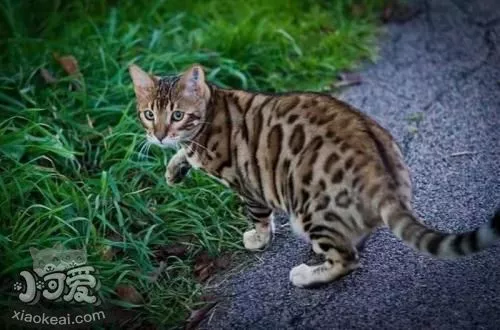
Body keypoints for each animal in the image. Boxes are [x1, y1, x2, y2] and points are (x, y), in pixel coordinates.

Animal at [130, 63, 500, 288]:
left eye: (178, 115)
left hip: (310, 209)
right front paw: (174, 168)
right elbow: (183, 155)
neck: (210, 110)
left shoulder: (248, 184)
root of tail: (381, 174)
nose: (159, 135)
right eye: (149, 114)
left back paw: (307, 274)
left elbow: (260, 217)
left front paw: (259, 238)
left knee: (348, 259)